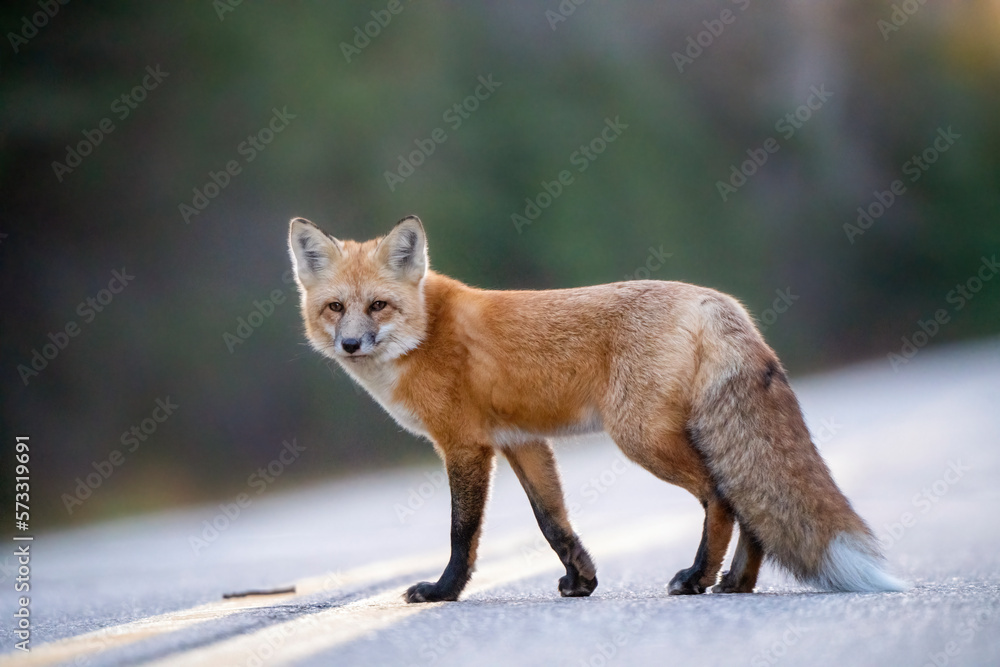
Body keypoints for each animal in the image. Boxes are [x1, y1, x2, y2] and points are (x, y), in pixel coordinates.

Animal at [287, 214, 908, 603]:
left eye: (378, 306)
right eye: (335, 307)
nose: (351, 344)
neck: (426, 331)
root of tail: (717, 301)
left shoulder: (465, 445)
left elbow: (463, 534)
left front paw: (444, 592)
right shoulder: (521, 441)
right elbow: (552, 522)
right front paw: (581, 581)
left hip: (639, 438)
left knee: (721, 496)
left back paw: (698, 577)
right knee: (747, 500)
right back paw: (736, 582)